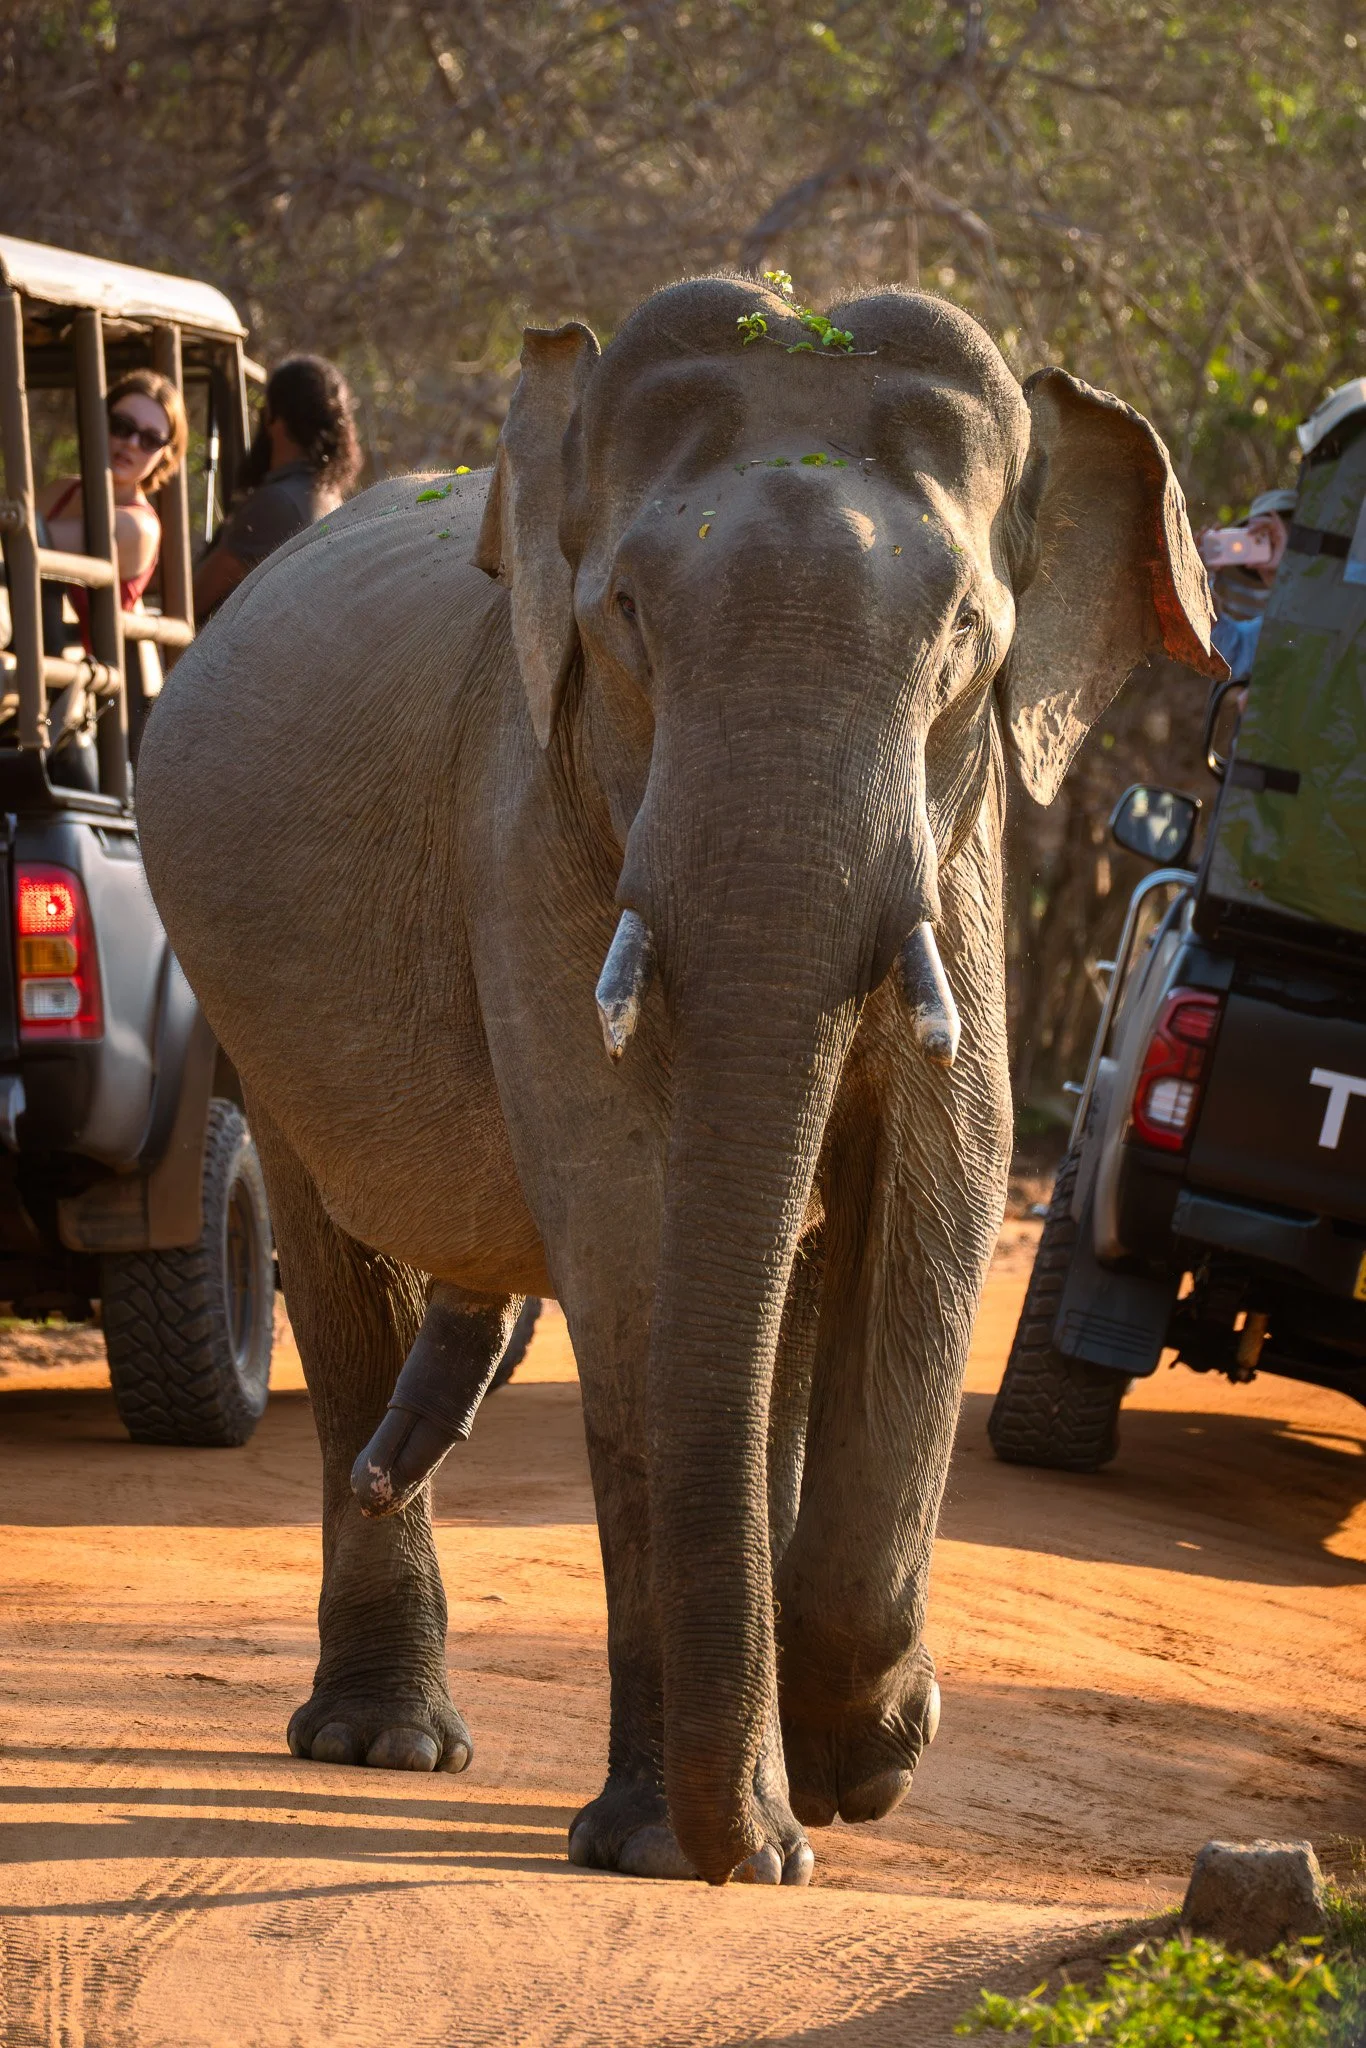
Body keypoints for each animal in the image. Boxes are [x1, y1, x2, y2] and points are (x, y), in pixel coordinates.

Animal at [136, 274, 1222, 1888]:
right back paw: (385, 1742)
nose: (737, 1849)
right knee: (335, 1274)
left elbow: (936, 1195)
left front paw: (851, 1773)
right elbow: (635, 1222)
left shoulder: (960, 843)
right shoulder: (528, 817)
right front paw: (694, 1844)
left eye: (968, 634)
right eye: (629, 620)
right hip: (246, 997)